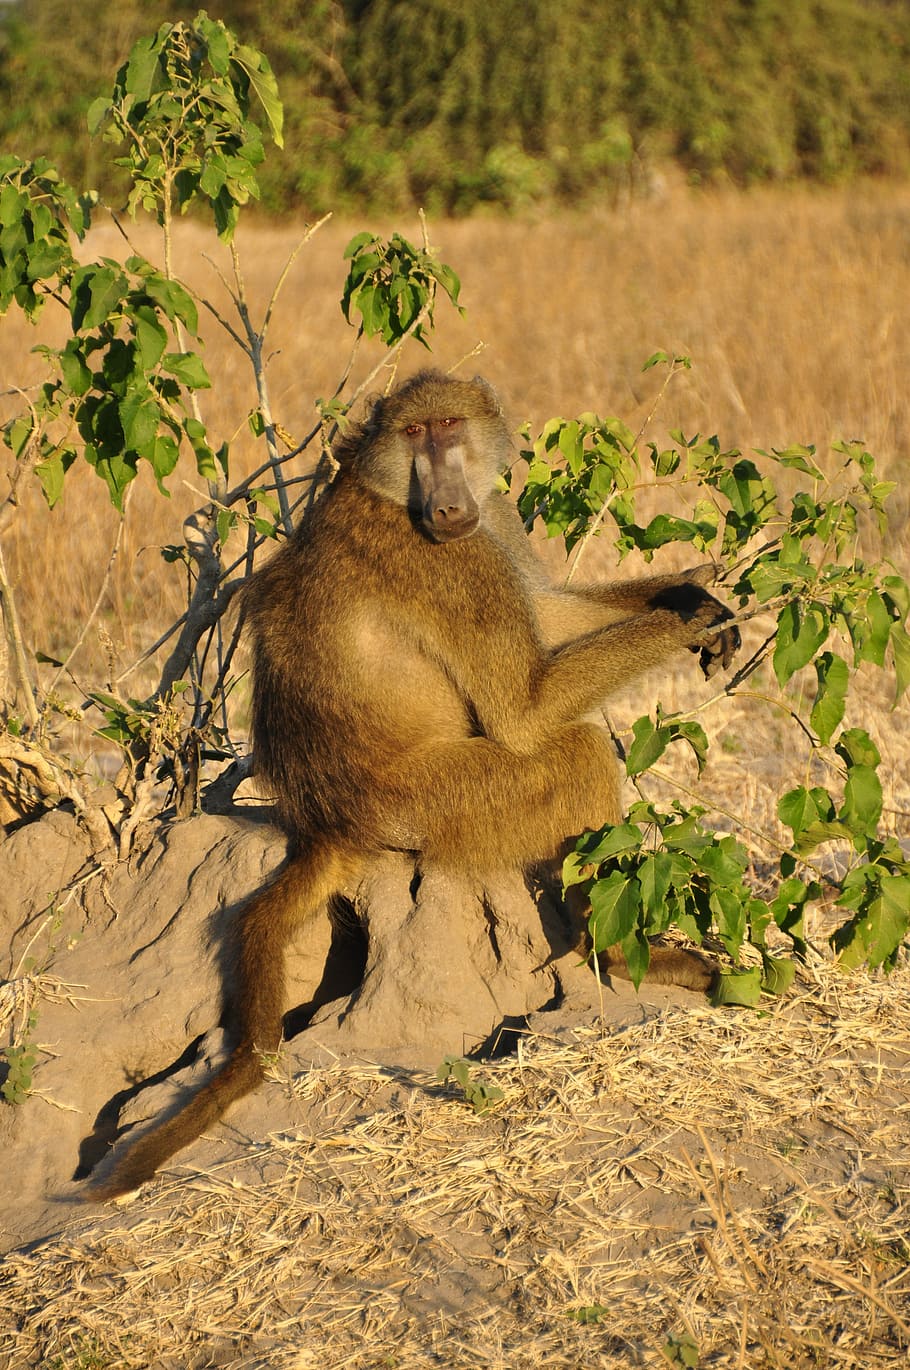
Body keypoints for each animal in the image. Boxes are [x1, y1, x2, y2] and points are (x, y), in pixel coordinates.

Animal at [87, 369, 740, 1200]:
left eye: (450, 427)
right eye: (414, 435)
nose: (448, 501)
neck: (387, 490)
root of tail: (330, 823)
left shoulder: (488, 524)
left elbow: (549, 612)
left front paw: (692, 589)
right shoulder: (449, 564)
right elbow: (526, 711)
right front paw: (691, 612)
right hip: (439, 806)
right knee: (583, 751)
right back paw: (616, 951)